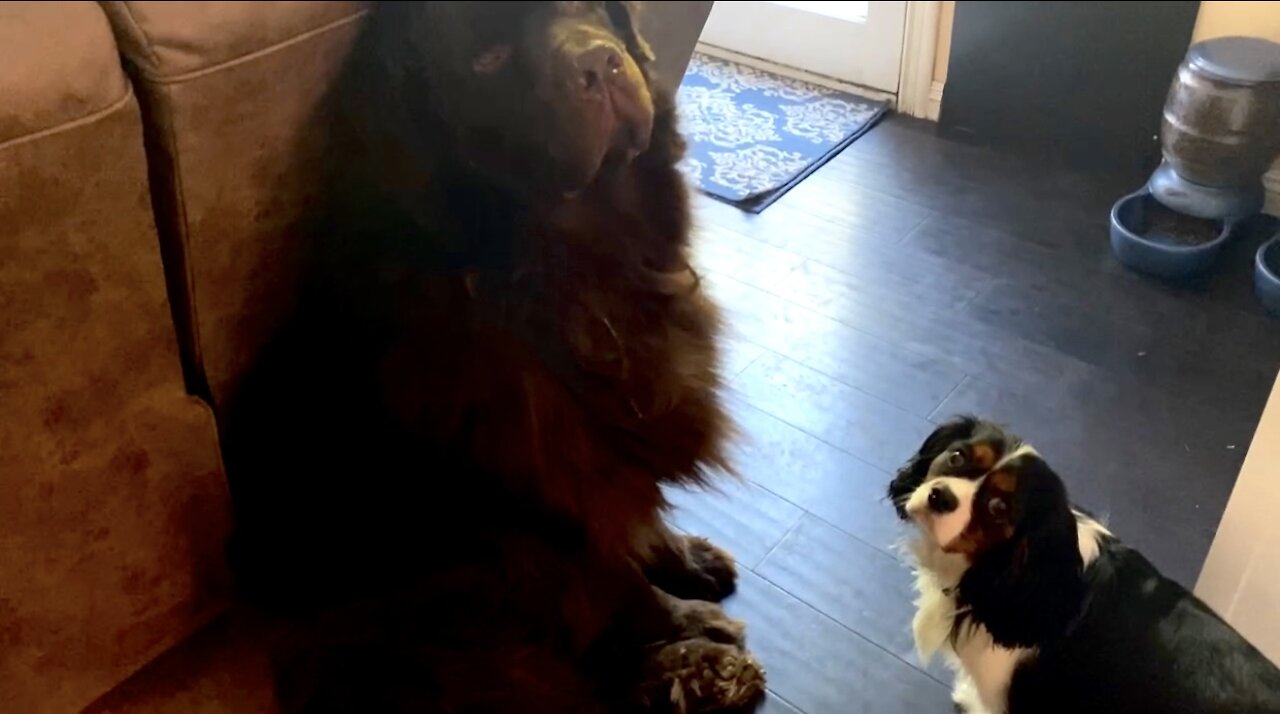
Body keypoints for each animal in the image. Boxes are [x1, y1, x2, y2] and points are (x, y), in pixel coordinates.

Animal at [222, 2, 757, 711]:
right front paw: (690, 626)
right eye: (487, 59)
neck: (581, 262)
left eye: (590, 8)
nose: (600, 62)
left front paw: (687, 558)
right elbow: (617, 582)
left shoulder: (614, 446)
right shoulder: (540, 504)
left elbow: (639, 520)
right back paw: (694, 673)